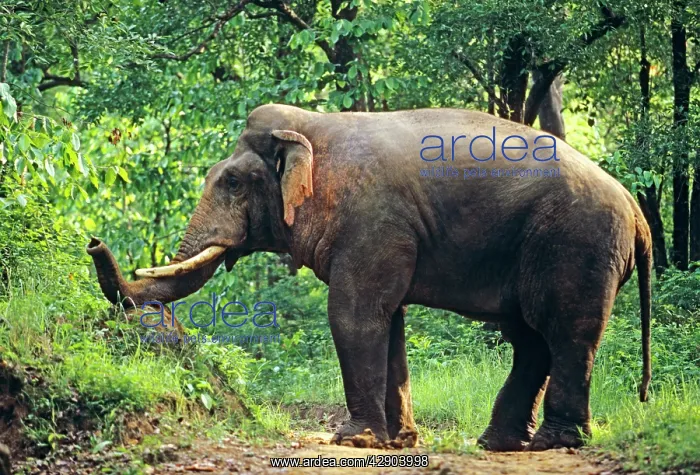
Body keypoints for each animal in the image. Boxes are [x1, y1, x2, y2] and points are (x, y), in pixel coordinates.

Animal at [87, 104, 652, 452]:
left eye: (230, 182)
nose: (92, 241)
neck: (314, 128)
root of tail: (637, 211)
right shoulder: (387, 235)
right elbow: (388, 318)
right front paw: (396, 442)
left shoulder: (372, 219)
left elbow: (353, 313)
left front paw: (352, 439)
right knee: (530, 338)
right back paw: (498, 443)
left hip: (577, 244)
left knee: (566, 333)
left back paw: (556, 442)